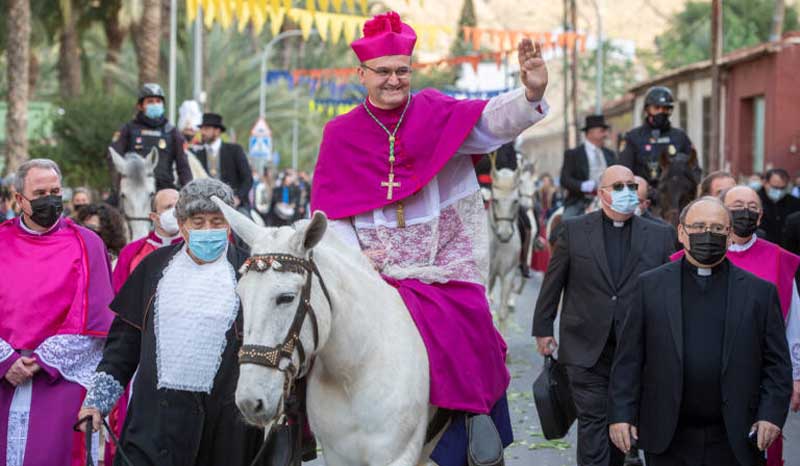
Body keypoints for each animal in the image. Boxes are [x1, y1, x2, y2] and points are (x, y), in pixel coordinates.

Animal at [211, 199, 438, 466]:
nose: (249, 402)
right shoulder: (338, 456)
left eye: (286, 297)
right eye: (241, 295)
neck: (353, 372)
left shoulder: (397, 456)